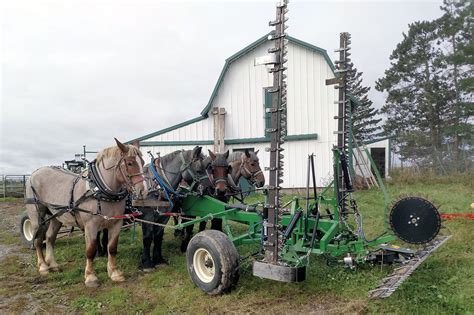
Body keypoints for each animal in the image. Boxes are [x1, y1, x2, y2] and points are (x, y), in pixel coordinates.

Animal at [24, 139, 145, 288]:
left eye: (143, 162)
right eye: (130, 163)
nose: (143, 191)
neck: (100, 189)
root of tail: (33, 173)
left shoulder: (116, 223)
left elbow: (112, 248)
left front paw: (114, 273)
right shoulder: (91, 226)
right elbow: (91, 250)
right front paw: (90, 277)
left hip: (57, 217)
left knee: (50, 237)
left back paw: (53, 264)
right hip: (37, 216)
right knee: (38, 240)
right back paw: (43, 267)